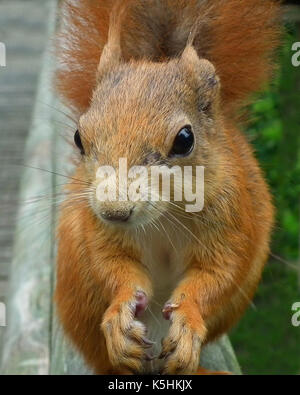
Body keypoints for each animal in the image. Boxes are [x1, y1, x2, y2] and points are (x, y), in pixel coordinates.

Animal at [54, 0, 282, 374]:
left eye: (185, 139)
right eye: (78, 137)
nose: (114, 212)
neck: (164, 216)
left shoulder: (231, 218)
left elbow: (217, 274)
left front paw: (187, 317)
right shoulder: (99, 231)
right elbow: (111, 265)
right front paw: (120, 310)